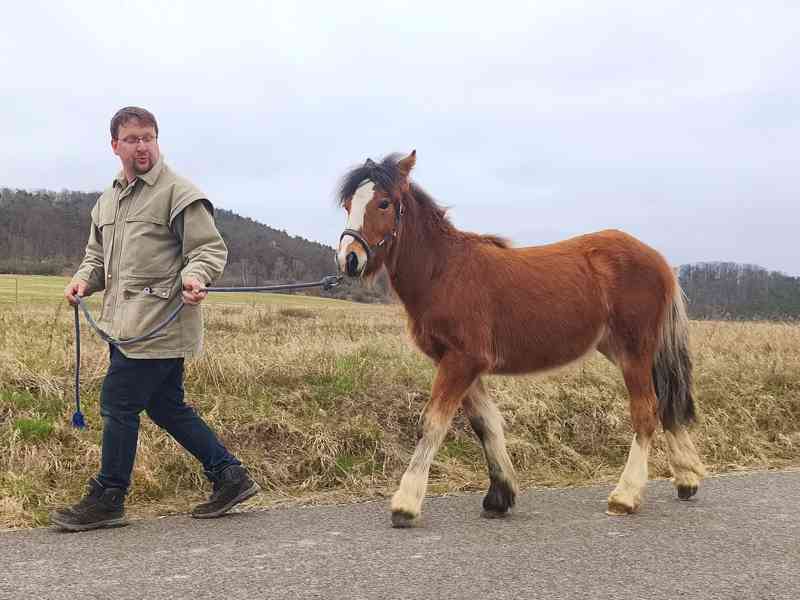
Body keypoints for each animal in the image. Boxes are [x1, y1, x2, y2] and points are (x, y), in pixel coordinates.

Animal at [335, 151, 706, 528]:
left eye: (383, 203)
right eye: (348, 204)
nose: (349, 259)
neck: (443, 272)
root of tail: (659, 260)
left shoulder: (462, 361)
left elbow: (433, 424)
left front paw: (406, 504)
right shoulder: (461, 364)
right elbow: (486, 424)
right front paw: (500, 496)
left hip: (634, 351)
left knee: (646, 411)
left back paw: (626, 496)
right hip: (622, 349)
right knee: (665, 402)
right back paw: (687, 477)